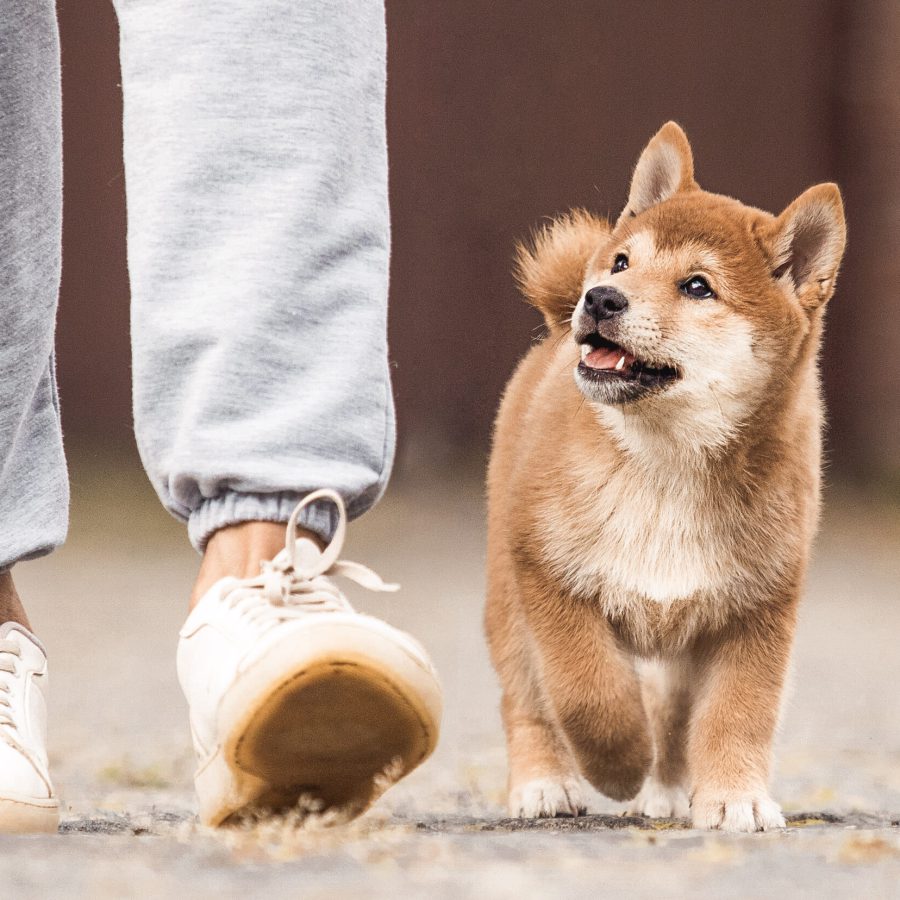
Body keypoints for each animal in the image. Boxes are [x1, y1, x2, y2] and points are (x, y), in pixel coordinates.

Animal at [486, 123, 844, 832]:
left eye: (698, 287)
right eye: (623, 263)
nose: (600, 297)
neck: (666, 464)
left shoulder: (757, 609)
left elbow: (738, 713)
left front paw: (734, 797)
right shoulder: (548, 575)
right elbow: (589, 693)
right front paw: (619, 764)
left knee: (675, 718)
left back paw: (671, 789)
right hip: (508, 603)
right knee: (527, 700)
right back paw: (544, 784)